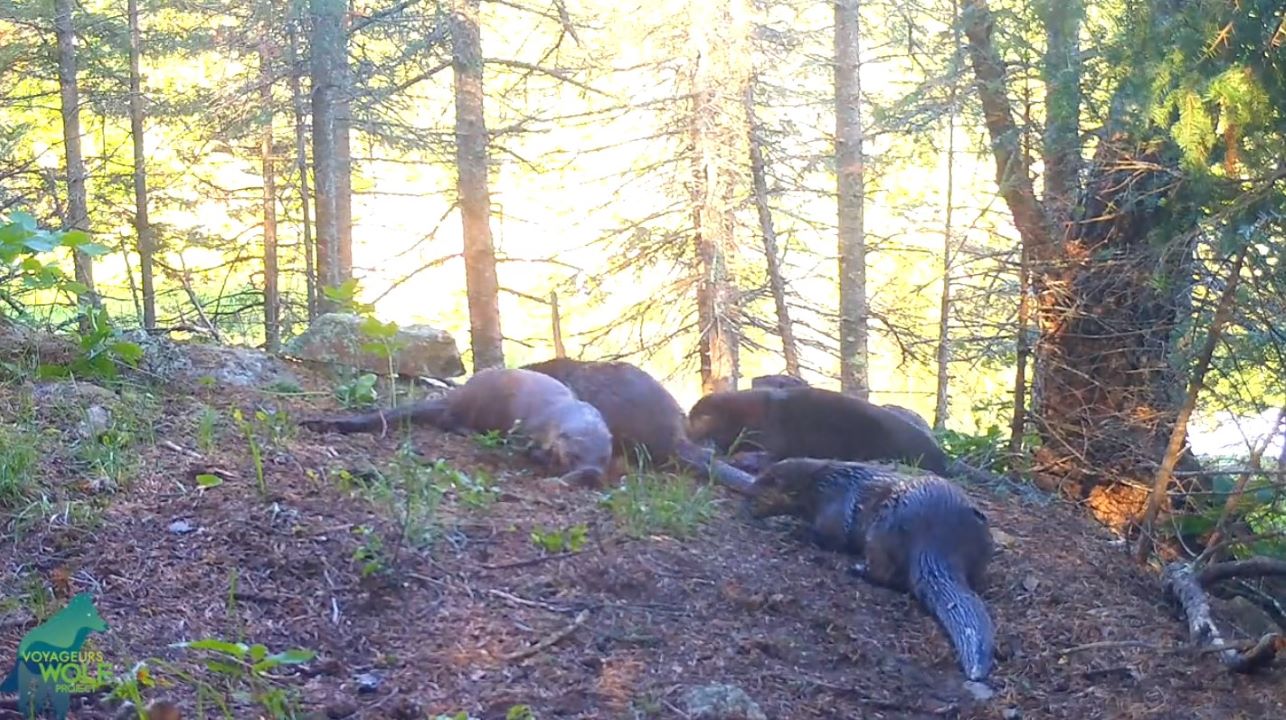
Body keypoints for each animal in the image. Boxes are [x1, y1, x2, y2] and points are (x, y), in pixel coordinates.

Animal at [300, 368, 612, 486]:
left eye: (603, 458)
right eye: (573, 455)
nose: (591, 474)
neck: (557, 414)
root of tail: (458, 393)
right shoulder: (527, 428)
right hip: (476, 406)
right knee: (448, 420)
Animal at [749, 458, 996, 687]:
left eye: (759, 488)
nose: (746, 501)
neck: (819, 484)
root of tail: (939, 539)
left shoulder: (834, 505)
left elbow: (831, 535)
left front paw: (794, 529)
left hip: (882, 527)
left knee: (883, 571)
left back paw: (855, 569)